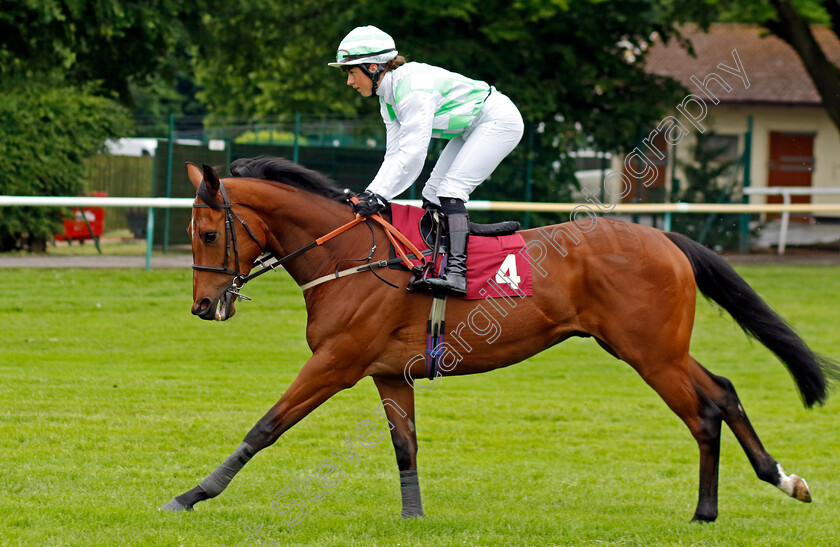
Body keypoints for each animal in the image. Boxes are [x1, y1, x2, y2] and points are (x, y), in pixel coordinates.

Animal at [161, 157, 836, 524]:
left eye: (208, 232)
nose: (202, 306)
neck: (353, 255)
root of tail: (665, 238)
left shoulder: (336, 362)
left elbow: (265, 427)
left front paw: (192, 495)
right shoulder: (387, 371)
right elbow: (404, 446)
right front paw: (414, 517)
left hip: (650, 352)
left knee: (702, 412)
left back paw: (707, 508)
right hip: (655, 348)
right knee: (721, 392)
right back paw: (778, 481)